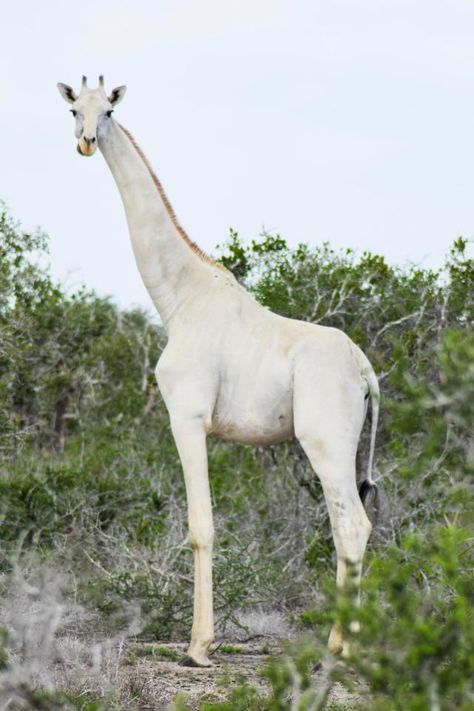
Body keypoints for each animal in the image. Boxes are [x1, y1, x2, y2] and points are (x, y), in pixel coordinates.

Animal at [57, 78, 380, 668]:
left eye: (109, 110)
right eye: (74, 109)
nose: (87, 142)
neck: (178, 299)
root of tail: (367, 372)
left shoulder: (186, 417)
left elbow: (200, 527)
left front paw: (199, 647)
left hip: (325, 441)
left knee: (351, 523)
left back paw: (339, 648)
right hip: (340, 446)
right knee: (351, 525)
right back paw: (347, 643)